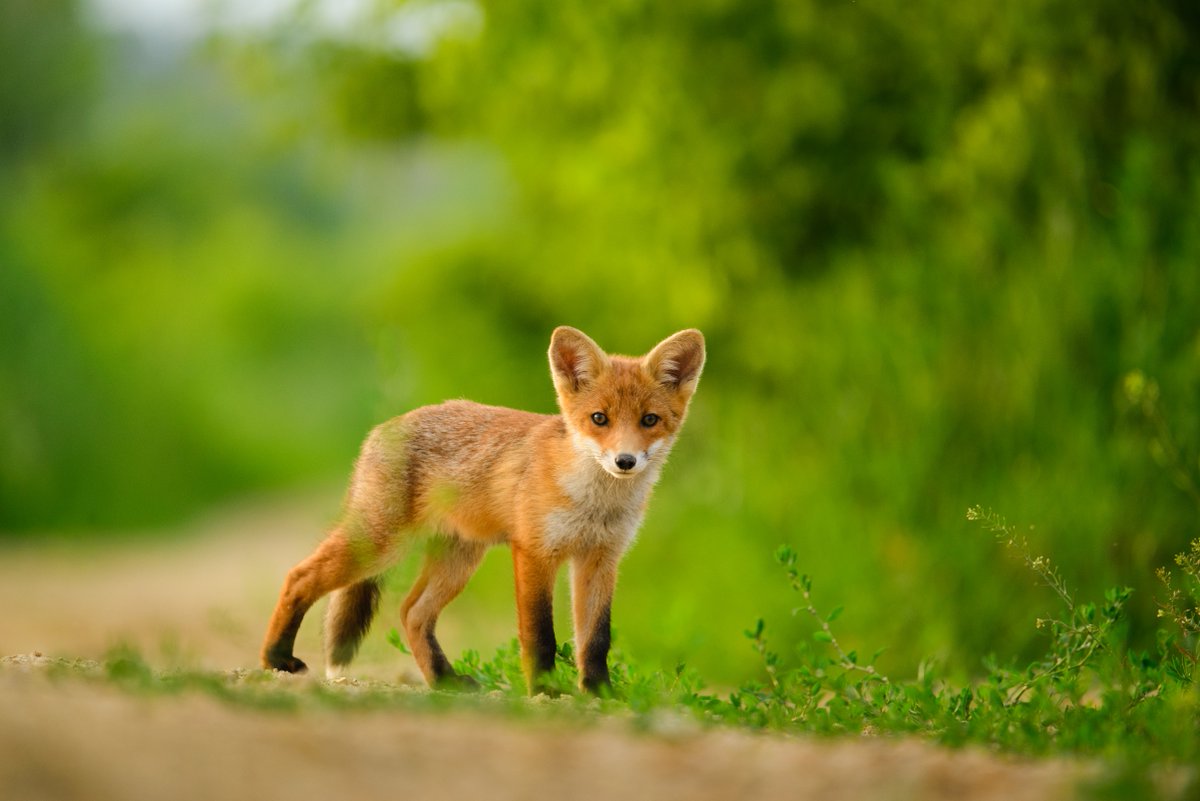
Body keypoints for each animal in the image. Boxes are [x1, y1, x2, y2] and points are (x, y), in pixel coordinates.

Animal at [260, 326, 705, 694]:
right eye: (599, 418)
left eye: (649, 420)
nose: (624, 461)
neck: (595, 504)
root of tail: (380, 430)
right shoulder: (533, 552)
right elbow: (539, 635)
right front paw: (545, 691)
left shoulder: (600, 559)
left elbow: (595, 640)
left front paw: (600, 694)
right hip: (379, 545)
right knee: (299, 578)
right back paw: (276, 659)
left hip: (458, 560)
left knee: (411, 613)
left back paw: (444, 680)